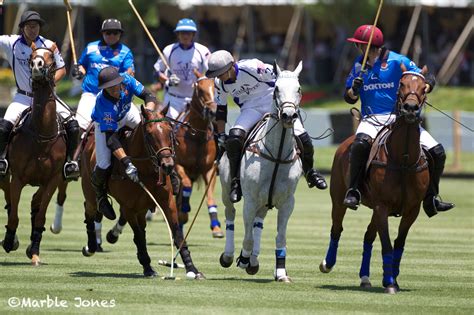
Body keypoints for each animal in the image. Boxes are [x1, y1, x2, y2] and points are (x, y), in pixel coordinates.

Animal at [0, 44, 67, 266]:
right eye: (31, 57)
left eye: (52, 58)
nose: (38, 65)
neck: (41, 134)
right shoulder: (18, 178)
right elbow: (13, 215)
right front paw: (9, 241)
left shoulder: (53, 180)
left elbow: (40, 216)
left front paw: (35, 252)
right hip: (5, 174)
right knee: (9, 199)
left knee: (35, 203)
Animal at [80, 106, 205, 278]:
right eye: (150, 135)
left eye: (170, 131)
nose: (167, 165)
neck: (145, 170)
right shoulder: (128, 207)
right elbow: (138, 236)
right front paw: (148, 267)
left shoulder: (167, 202)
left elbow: (177, 233)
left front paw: (192, 269)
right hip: (92, 192)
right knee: (90, 210)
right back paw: (91, 246)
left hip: (142, 207)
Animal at [174, 70, 224, 239]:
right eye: (200, 90)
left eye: (217, 89)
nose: (213, 111)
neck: (196, 135)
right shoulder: (178, 165)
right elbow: (186, 185)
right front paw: (184, 210)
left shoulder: (209, 169)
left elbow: (210, 197)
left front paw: (216, 227)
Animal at [218, 60, 304, 282]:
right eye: (277, 89)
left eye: (299, 89)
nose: (289, 115)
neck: (277, 153)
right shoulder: (250, 200)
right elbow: (247, 238)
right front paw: (243, 258)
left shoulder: (287, 203)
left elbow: (280, 237)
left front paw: (281, 272)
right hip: (226, 191)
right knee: (230, 213)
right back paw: (229, 256)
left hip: (266, 200)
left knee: (259, 221)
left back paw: (254, 261)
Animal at [320, 65, 432, 296]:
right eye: (402, 84)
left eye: (424, 87)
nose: (410, 108)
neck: (403, 158)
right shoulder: (382, 206)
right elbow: (387, 245)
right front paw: (389, 282)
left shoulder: (412, 210)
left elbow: (398, 244)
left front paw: (393, 277)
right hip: (339, 197)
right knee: (337, 228)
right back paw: (328, 263)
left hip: (376, 209)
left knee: (368, 237)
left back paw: (365, 277)